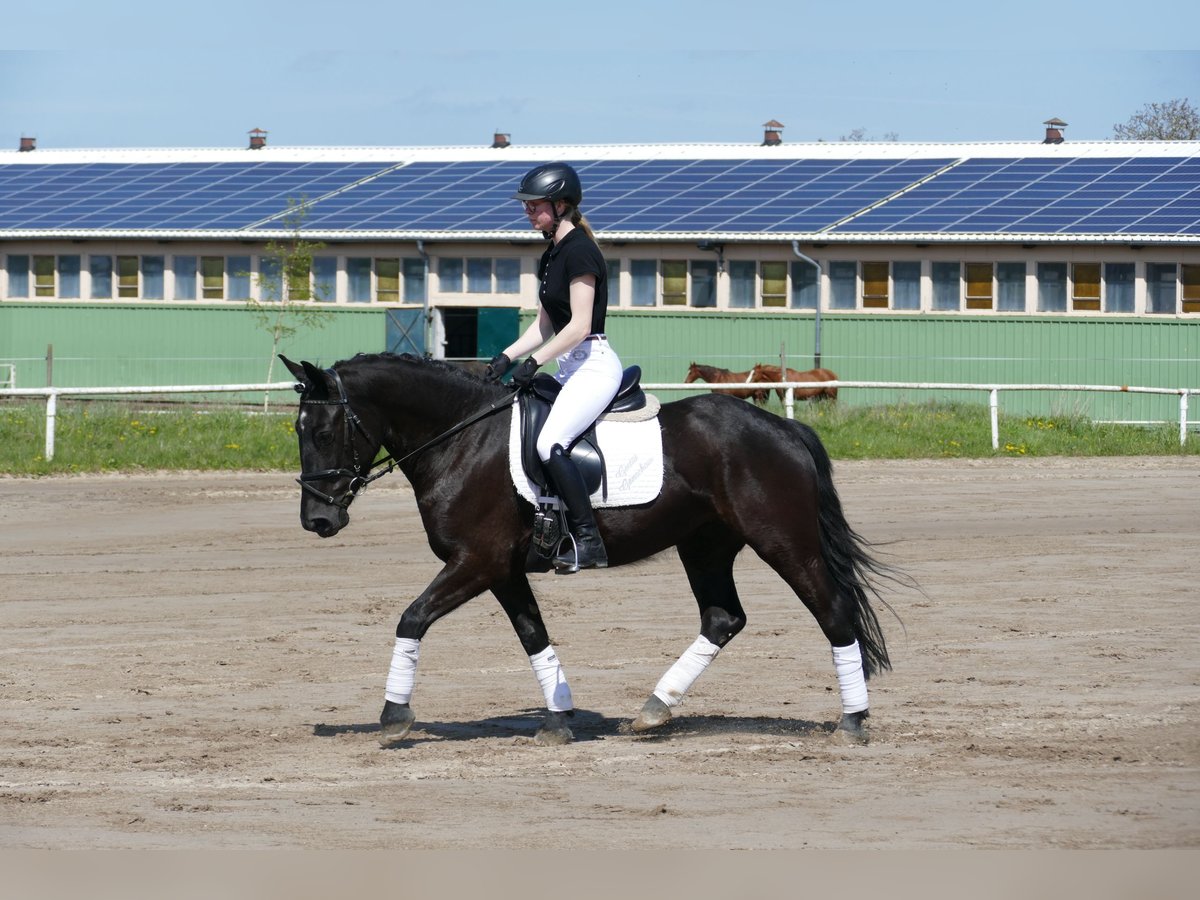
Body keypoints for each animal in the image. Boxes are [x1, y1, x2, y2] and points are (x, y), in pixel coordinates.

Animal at [283, 352, 902, 748]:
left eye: (323, 433)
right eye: (298, 431)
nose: (317, 520)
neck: (461, 437)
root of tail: (781, 428)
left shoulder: (476, 562)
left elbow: (411, 618)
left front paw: (394, 715)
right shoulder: (502, 570)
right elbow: (533, 636)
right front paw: (558, 719)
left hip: (782, 541)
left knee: (832, 611)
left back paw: (852, 722)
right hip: (704, 546)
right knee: (723, 617)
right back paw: (654, 710)